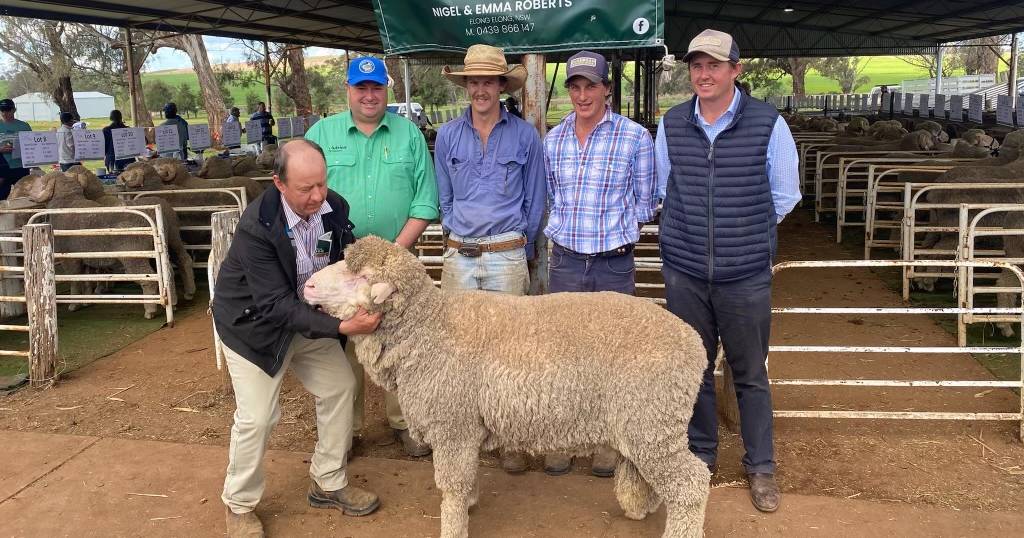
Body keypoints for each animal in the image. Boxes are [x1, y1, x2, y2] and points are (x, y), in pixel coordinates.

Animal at [299, 237, 708, 536]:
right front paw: (469, 504)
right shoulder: (466, 428)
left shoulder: (453, 425)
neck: (429, 326)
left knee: (692, 483)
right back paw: (645, 506)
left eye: (360, 277)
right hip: (646, 423)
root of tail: (694, 341)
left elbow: (452, 484)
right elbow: (466, 478)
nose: (309, 284)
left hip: (652, 419)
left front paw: (453, 525)